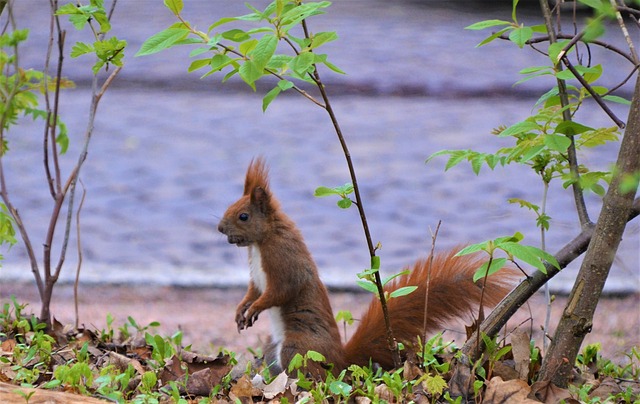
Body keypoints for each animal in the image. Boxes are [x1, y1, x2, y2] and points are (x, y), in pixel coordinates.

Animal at [218, 158, 516, 376]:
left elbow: (280, 291)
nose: (219, 228)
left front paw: (255, 309)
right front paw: (241, 310)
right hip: (273, 350)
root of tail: (340, 359)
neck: (261, 242)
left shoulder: (284, 262)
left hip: (298, 348)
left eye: (243, 216)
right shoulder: (258, 276)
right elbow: (254, 290)